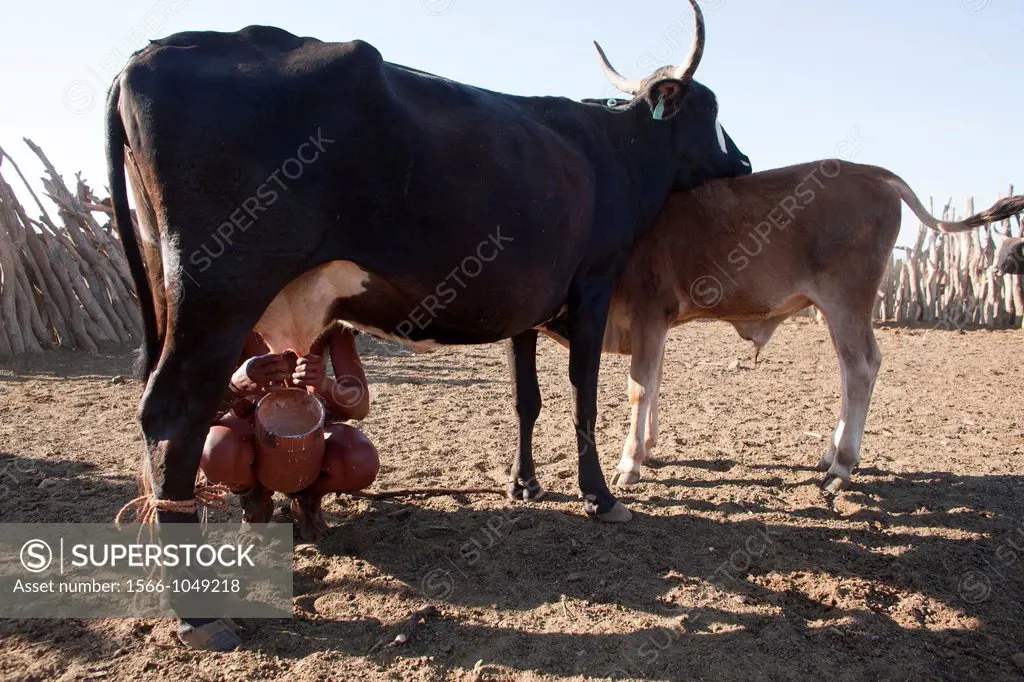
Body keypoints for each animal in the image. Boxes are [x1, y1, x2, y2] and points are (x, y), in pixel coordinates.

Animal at [108, 0, 749, 647]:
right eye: (711, 108)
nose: (743, 161)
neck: (612, 149)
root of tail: (149, 54)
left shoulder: (524, 307)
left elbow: (527, 398)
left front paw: (523, 483)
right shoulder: (590, 287)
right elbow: (582, 396)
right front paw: (599, 496)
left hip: (174, 291)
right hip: (220, 293)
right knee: (174, 415)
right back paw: (197, 611)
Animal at [540, 157, 1024, 491]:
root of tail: (870, 172)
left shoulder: (649, 313)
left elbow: (640, 388)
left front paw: (629, 463)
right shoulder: (654, 326)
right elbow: (655, 383)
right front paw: (649, 448)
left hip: (847, 301)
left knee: (861, 367)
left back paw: (841, 468)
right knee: (851, 370)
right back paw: (830, 454)